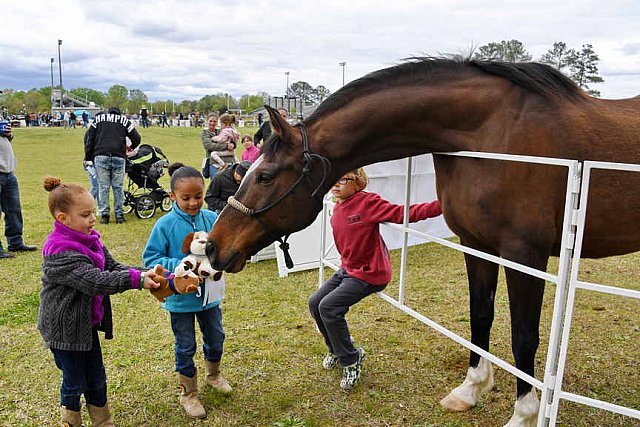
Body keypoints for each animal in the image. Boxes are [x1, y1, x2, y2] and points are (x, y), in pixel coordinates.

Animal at [206, 57, 640, 427]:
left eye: (265, 176)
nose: (212, 246)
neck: (491, 134)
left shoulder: (525, 255)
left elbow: (523, 337)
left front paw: (524, 414)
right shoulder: (476, 244)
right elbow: (480, 315)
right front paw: (470, 389)